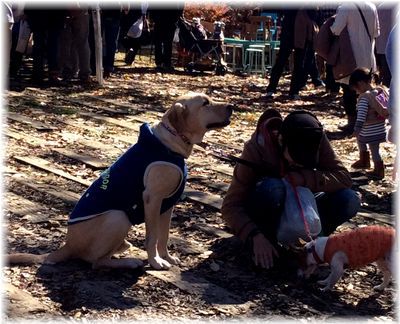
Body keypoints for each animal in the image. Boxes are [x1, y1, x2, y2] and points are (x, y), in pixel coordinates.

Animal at [7, 93, 233, 270]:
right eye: (205, 103)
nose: (232, 107)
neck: (171, 145)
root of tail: (67, 245)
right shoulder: (152, 200)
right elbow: (152, 237)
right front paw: (156, 262)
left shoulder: (168, 205)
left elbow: (164, 237)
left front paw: (167, 257)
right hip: (118, 217)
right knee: (95, 262)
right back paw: (128, 262)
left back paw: (124, 249)